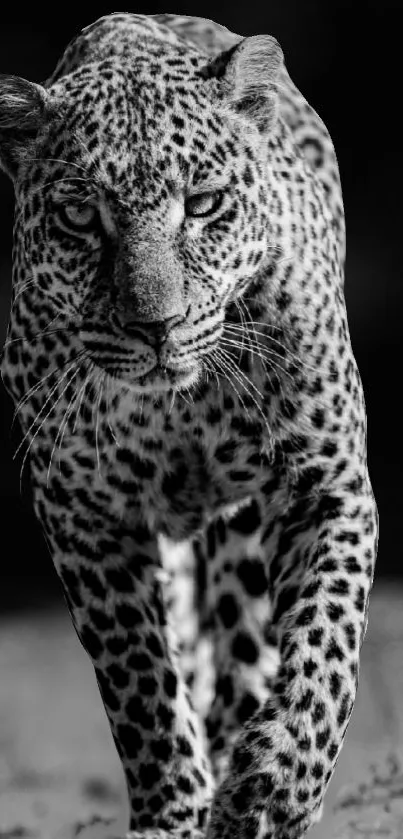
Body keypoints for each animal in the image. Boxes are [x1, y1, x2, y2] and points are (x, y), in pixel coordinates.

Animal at [0, 13, 378, 839]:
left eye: (202, 205)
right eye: (81, 216)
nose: (156, 327)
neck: (180, 403)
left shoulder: (325, 482)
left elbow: (325, 647)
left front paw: (277, 785)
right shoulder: (84, 514)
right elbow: (139, 680)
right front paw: (173, 809)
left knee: (248, 651)